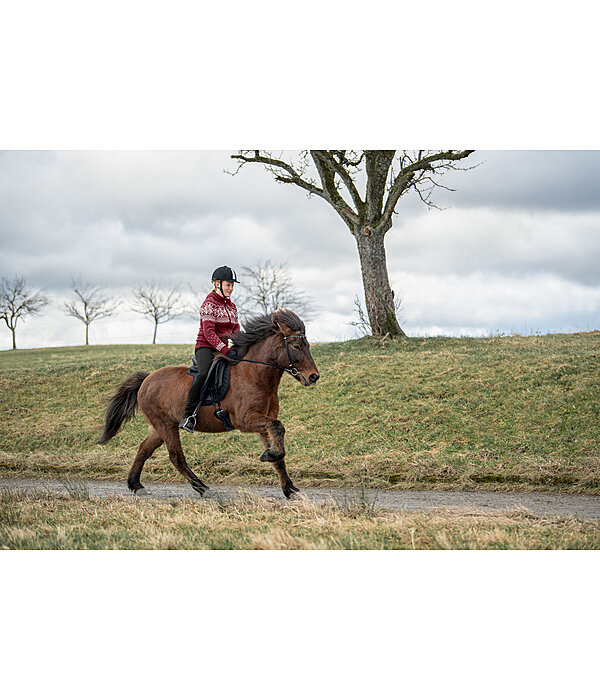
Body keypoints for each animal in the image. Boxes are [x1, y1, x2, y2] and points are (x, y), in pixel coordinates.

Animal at [97, 308, 318, 498]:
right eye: (297, 346)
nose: (314, 377)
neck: (255, 375)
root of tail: (147, 378)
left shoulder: (264, 422)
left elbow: (278, 450)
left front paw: (288, 487)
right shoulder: (245, 420)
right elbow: (278, 428)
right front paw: (269, 457)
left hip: (161, 426)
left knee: (144, 449)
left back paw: (135, 484)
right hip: (165, 425)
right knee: (176, 456)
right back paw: (202, 488)